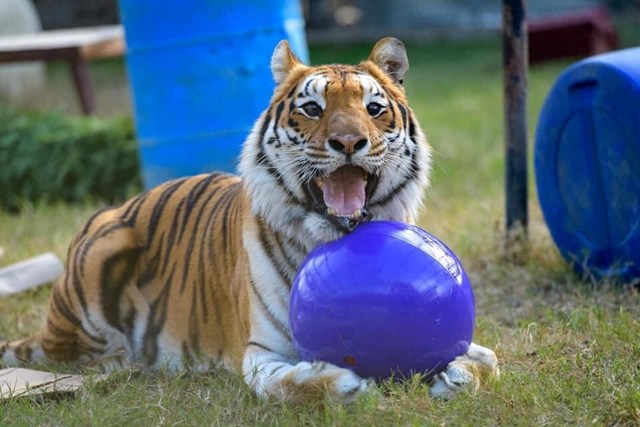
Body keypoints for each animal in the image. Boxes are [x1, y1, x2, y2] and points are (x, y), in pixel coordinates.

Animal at [0, 37, 498, 404]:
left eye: (374, 109)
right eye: (312, 108)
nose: (348, 142)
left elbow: (486, 361)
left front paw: (455, 376)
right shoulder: (261, 354)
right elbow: (295, 384)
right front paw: (345, 384)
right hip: (98, 267)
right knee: (75, 355)